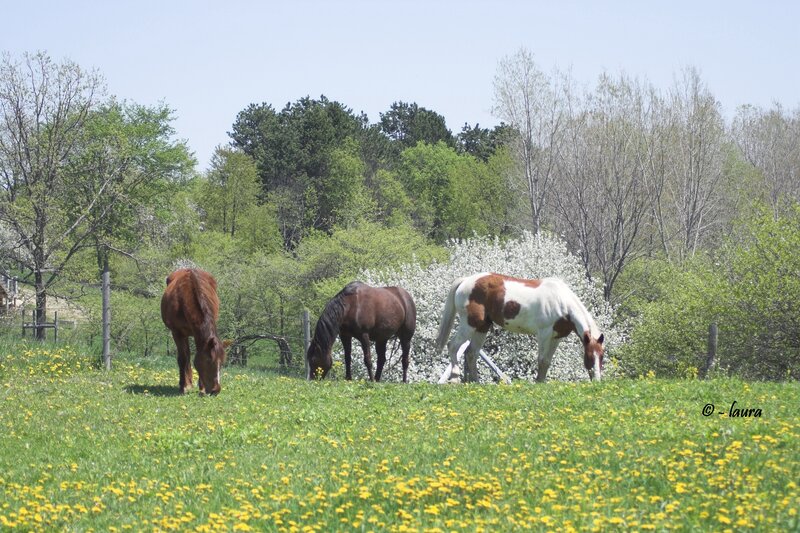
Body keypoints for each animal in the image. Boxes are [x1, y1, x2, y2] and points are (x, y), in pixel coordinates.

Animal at [435, 273, 605, 383]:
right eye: (589, 356)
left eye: (601, 356)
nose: (597, 381)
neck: (562, 302)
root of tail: (466, 281)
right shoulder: (544, 333)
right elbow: (542, 360)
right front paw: (538, 383)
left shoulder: (556, 337)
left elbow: (547, 361)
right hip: (469, 324)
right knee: (453, 346)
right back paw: (455, 379)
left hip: (482, 327)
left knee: (471, 353)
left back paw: (475, 382)